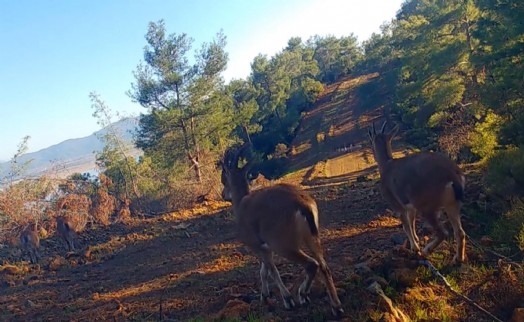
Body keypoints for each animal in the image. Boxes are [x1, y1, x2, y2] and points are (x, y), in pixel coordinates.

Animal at [218, 143, 344, 316]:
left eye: (224, 179)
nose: (223, 195)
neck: (242, 203)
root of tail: (302, 204)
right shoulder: (266, 247)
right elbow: (264, 270)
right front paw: (264, 296)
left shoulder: (257, 245)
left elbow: (272, 270)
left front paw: (287, 299)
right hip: (312, 237)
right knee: (323, 265)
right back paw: (335, 306)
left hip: (283, 244)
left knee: (311, 264)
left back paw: (302, 295)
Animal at [368, 121, 466, 264]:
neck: (386, 165)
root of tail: (452, 175)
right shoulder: (410, 206)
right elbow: (411, 220)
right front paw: (416, 240)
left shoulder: (397, 204)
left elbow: (406, 225)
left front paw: (415, 247)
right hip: (452, 204)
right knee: (460, 232)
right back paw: (458, 259)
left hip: (427, 205)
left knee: (443, 233)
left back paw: (425, 251)